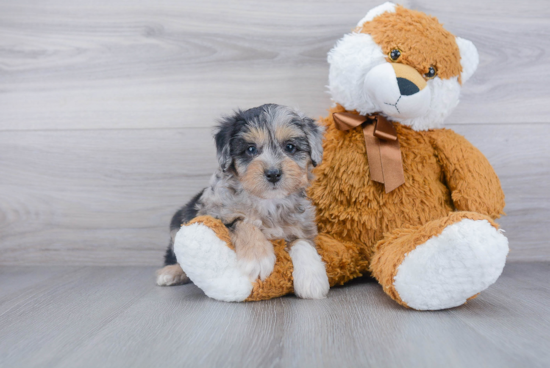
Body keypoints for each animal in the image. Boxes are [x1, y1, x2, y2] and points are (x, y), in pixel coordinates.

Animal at [155, 103, 330, 300]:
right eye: (251, 149)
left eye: (290, 147)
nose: (273, 174)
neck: (268, 202)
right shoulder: (214, 212)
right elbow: (243, 223)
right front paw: (258, 258)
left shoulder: (302, 225)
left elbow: (303, 243)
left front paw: (312, 279)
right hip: (179, 220)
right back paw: (170, 273)